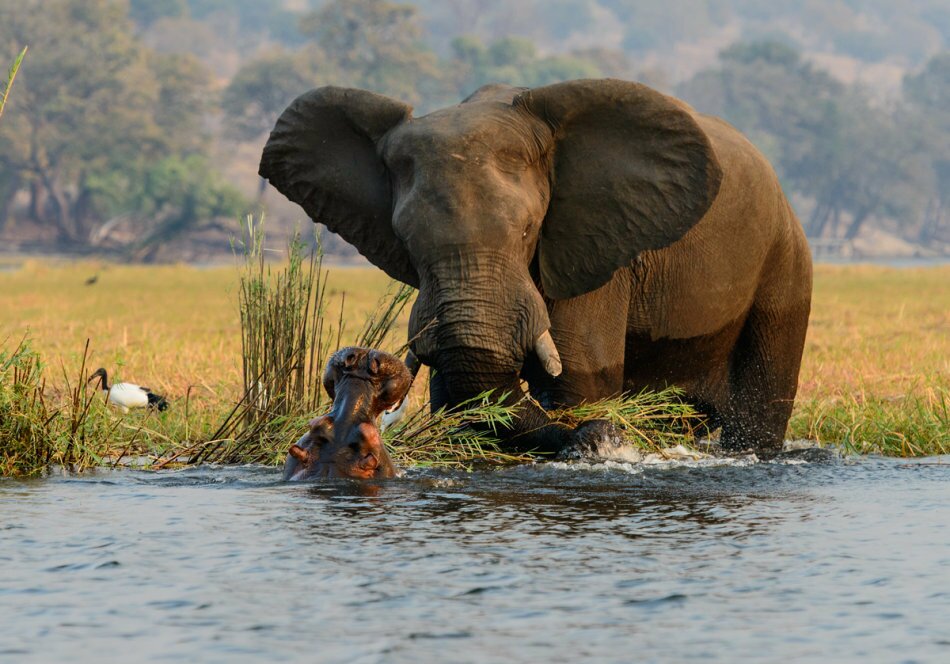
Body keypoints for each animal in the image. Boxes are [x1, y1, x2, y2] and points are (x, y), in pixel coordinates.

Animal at [258, 78, 812, 456]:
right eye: (409, 243)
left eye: (528, 232)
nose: (365, 361)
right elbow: (456, 395)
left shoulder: (589, 243)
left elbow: (579, 381)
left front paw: (590, 431)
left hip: (785, 262)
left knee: (759, 408)